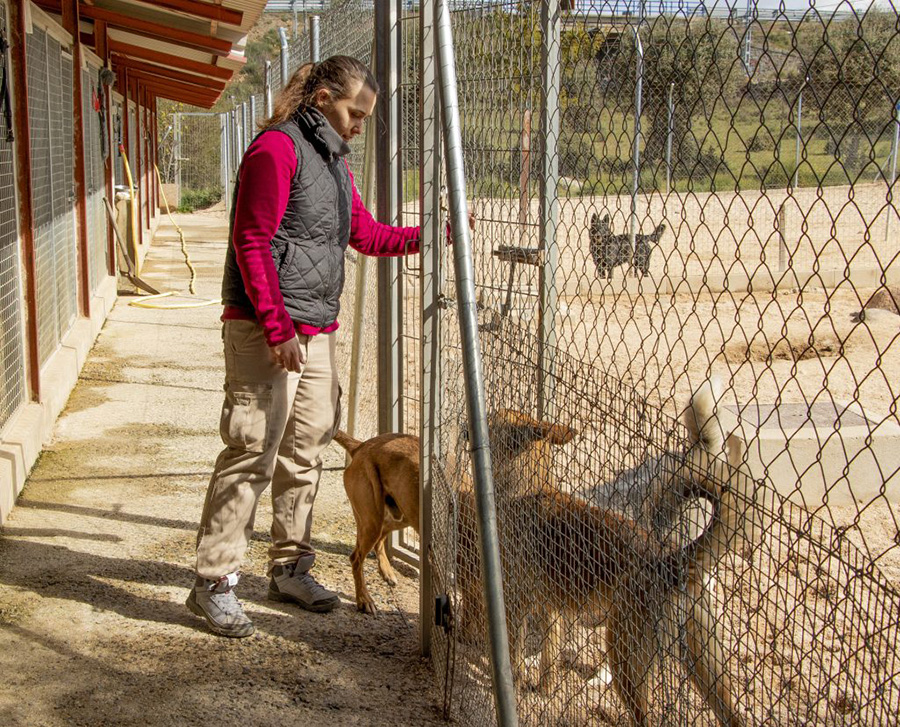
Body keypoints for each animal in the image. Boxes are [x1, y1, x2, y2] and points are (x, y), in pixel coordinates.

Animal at [332, 432, 420, 616]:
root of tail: (361, 446)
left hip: (400, 517)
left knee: (379, 540)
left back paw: (386, 572)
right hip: (372, 520)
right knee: (356, 558)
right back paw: (364, 600)